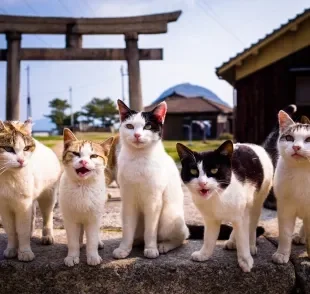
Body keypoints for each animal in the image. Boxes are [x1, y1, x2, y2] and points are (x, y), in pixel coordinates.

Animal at [0, 118, 61, 260]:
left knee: (47, 216)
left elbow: (22, 230)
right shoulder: (5, 207)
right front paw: (11, 249)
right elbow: (11, 230)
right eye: (8, 148)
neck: (7, 175)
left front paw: (24, 252)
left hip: (48, 196)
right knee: (32, 215)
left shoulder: (23, 205)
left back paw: (47, 236)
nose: (21, 161)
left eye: (26, 148)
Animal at [58, 129, 114, 266]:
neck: (83, 186)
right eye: (76, 153)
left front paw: (93, 256)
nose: (83, 161)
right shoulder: (70, 219)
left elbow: (92, 239)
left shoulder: (94, 218)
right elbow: (72, 240)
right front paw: (72, 256)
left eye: (93, 156)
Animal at [111, 100, 189, 258]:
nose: (137, 135)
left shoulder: (153, 202)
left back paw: (164, 245)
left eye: (147, 126)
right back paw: (135, 242)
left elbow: (151, 230)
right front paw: (124, 248)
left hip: (169, 217)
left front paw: (151, 248)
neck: (138, 158)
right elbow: (127, 229)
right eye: (130, 126)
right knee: (137, 234)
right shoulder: (128, 200)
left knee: (181, 237)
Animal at [177, 140, 274, 272]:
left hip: (258, 199)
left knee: (252, 222)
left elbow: (243, 237)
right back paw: (232, 241)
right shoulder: (210, 219)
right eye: (193, 171)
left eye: (214, 170)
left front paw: (245, 260)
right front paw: (204, 254)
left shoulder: (241, 215)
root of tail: (253, 145)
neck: (217, 197)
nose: (202, 183)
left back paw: (251, 245)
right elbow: (208, 237)